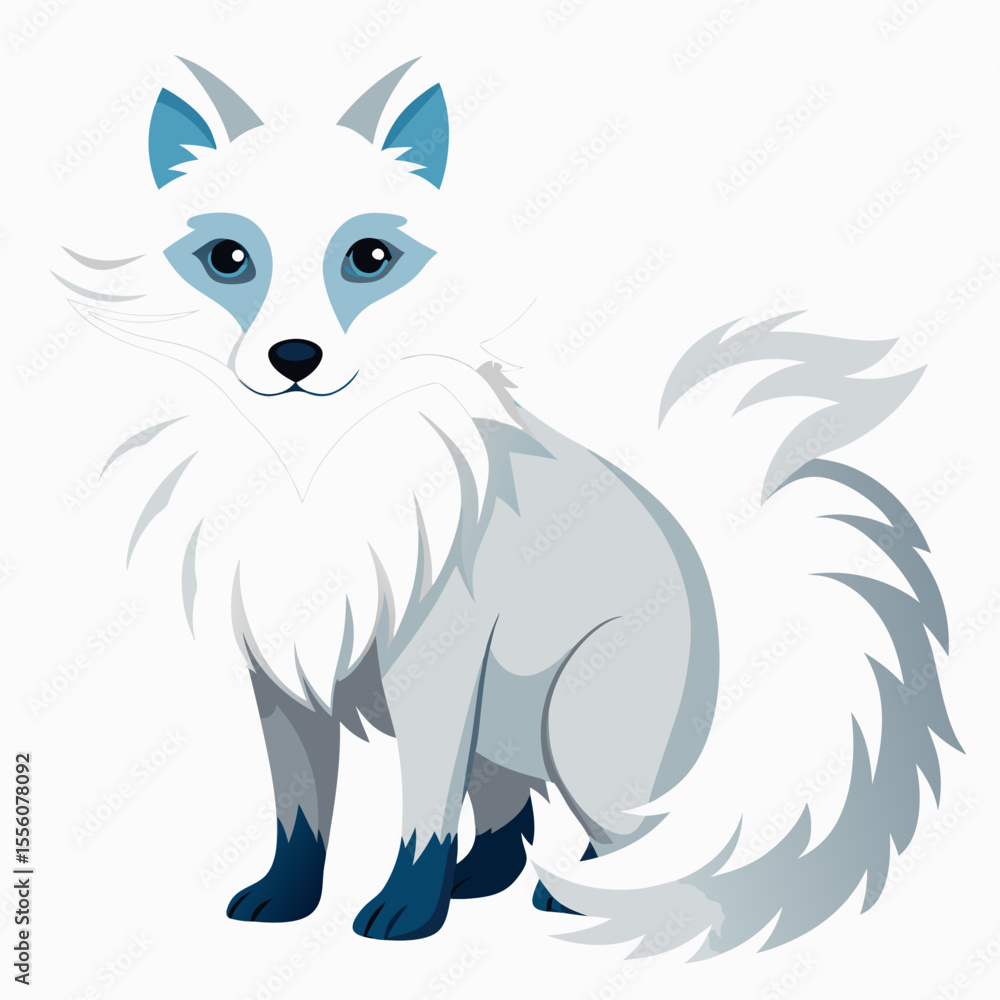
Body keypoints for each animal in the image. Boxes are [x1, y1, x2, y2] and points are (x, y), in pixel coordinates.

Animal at [56, 56, 960, 955]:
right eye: (227, 257)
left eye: (370, 257)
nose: (295, 358)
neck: (314, 472)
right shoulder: (281, 674)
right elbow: (300, 806)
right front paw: (287, 897)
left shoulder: (434, 665)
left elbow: (420, 812)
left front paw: (406, 913)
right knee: (508, 817)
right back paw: (483, 882)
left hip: (577, 721)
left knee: (628, 841)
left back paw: (576, 900)